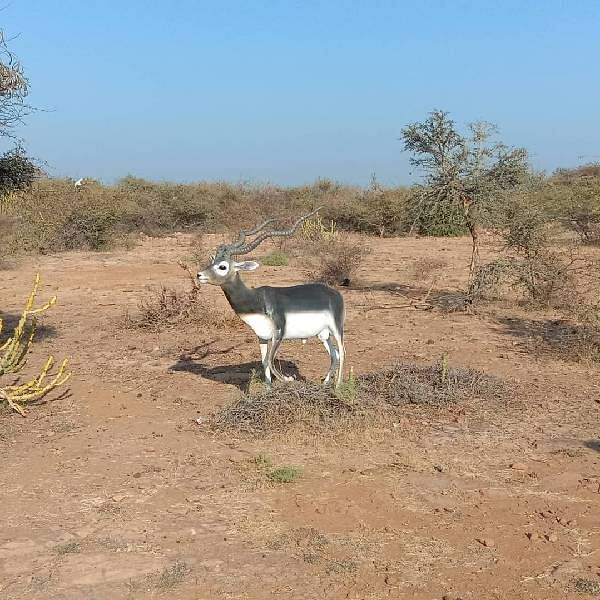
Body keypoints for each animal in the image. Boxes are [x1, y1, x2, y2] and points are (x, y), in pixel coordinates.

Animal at [198, 210, 346, 390]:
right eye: (213, 261)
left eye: (223, 266)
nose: (199, 275)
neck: (257, 299)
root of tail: (334, 292)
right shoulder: (262, 337)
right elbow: (264, 362)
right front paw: (268, 389)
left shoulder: (278, 334)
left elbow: (270, 360)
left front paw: (288, 379)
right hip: (323, 334)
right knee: (334, 354)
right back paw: (325, 382)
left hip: (336, 329)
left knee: (342, 353)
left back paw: (338, 386)